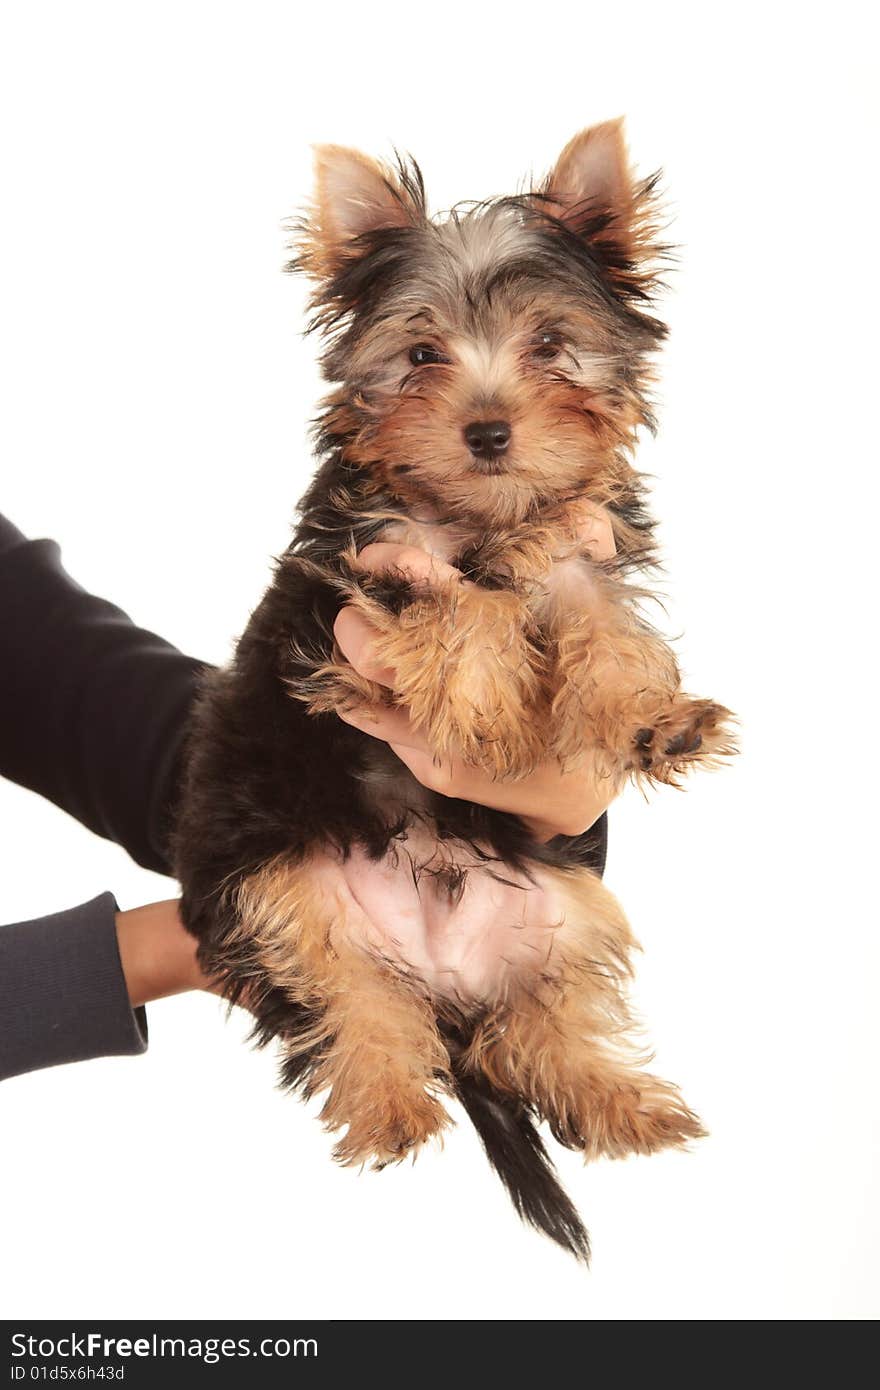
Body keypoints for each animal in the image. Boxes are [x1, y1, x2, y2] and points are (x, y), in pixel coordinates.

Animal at [171, 125, 734, 1267]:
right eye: (422, 356)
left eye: (551, 345)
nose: (486, 430)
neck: (483, 517)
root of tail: (439, 976)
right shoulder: (360, 573)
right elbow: (455, 605)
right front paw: (480, 698)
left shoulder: (581, 555)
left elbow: (609, 633)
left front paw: (652, 718)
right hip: (272, 881)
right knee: (352, 1000)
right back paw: (388, 1104)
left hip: (565, 905)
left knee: (536, 1024)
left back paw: (620, 1102)